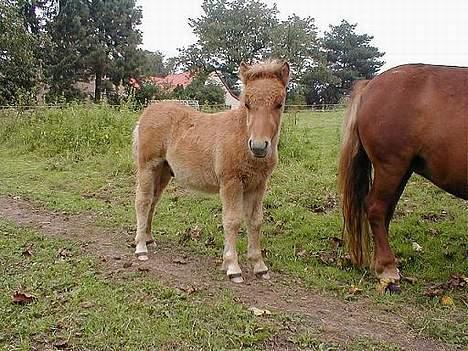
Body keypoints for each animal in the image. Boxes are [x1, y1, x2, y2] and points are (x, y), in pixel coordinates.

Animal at [133, 61, 290, 284]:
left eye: (279, 103)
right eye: (247, 104)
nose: (259, 147)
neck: (241, 136)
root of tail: (147, 112)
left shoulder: (258, 185)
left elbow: (255, 221)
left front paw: (259, 266)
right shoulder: (231, 182)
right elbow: (232, 220)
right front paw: (233, 267)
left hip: (163, 171)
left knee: (153, 202)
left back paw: (148, 239)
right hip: (148, 166)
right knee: (143, 201)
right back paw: (140, 248)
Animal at [340, 64, 468, 290]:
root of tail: (370, 85)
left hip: (401, 171)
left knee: (385, 212)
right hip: (391, 167)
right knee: (376, 208)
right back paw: (387, 268)